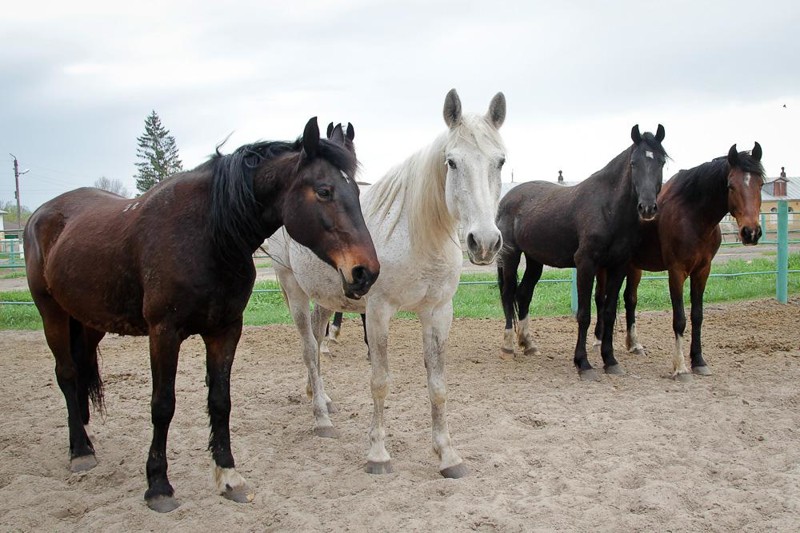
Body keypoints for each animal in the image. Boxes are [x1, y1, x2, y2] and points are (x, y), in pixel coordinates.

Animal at [21, 117, 378, 512]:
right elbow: (162, 405)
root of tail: (41, 214)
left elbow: (220, 402)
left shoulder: (225, 330)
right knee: (67, 374)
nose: (365, 272)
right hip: (51, 312)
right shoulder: (164, 333)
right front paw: (158, 485)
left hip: (88, 321)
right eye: (324, 190)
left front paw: (229, 475)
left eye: (356, 191)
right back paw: (80, 451)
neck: (208, 235)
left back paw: (83, 434)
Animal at [268, 89, 506, 476]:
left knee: (316, 344)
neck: (416, 235)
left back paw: (321, 398)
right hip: (293, 287)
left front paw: (448, 456)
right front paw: (378, 454)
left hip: (323, 295)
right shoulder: (378, 312)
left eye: (500, 161)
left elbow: (438, 385)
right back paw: (321, 419)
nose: (484, 242)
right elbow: (379, 382)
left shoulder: (438, 312)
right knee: (307, 347)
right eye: (452, 162)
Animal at [596, 143, 764, 380]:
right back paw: (599, 340)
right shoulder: (676, 271)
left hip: (634, 267)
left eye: (761, 184)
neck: (693, 216)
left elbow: (697, 316)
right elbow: (680, 319)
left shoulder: (702, 271)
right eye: (731, 185)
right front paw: (681, 367)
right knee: (600, 299)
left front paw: (699, 361)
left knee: (630, 299)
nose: (751, 232)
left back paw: (634, 344)